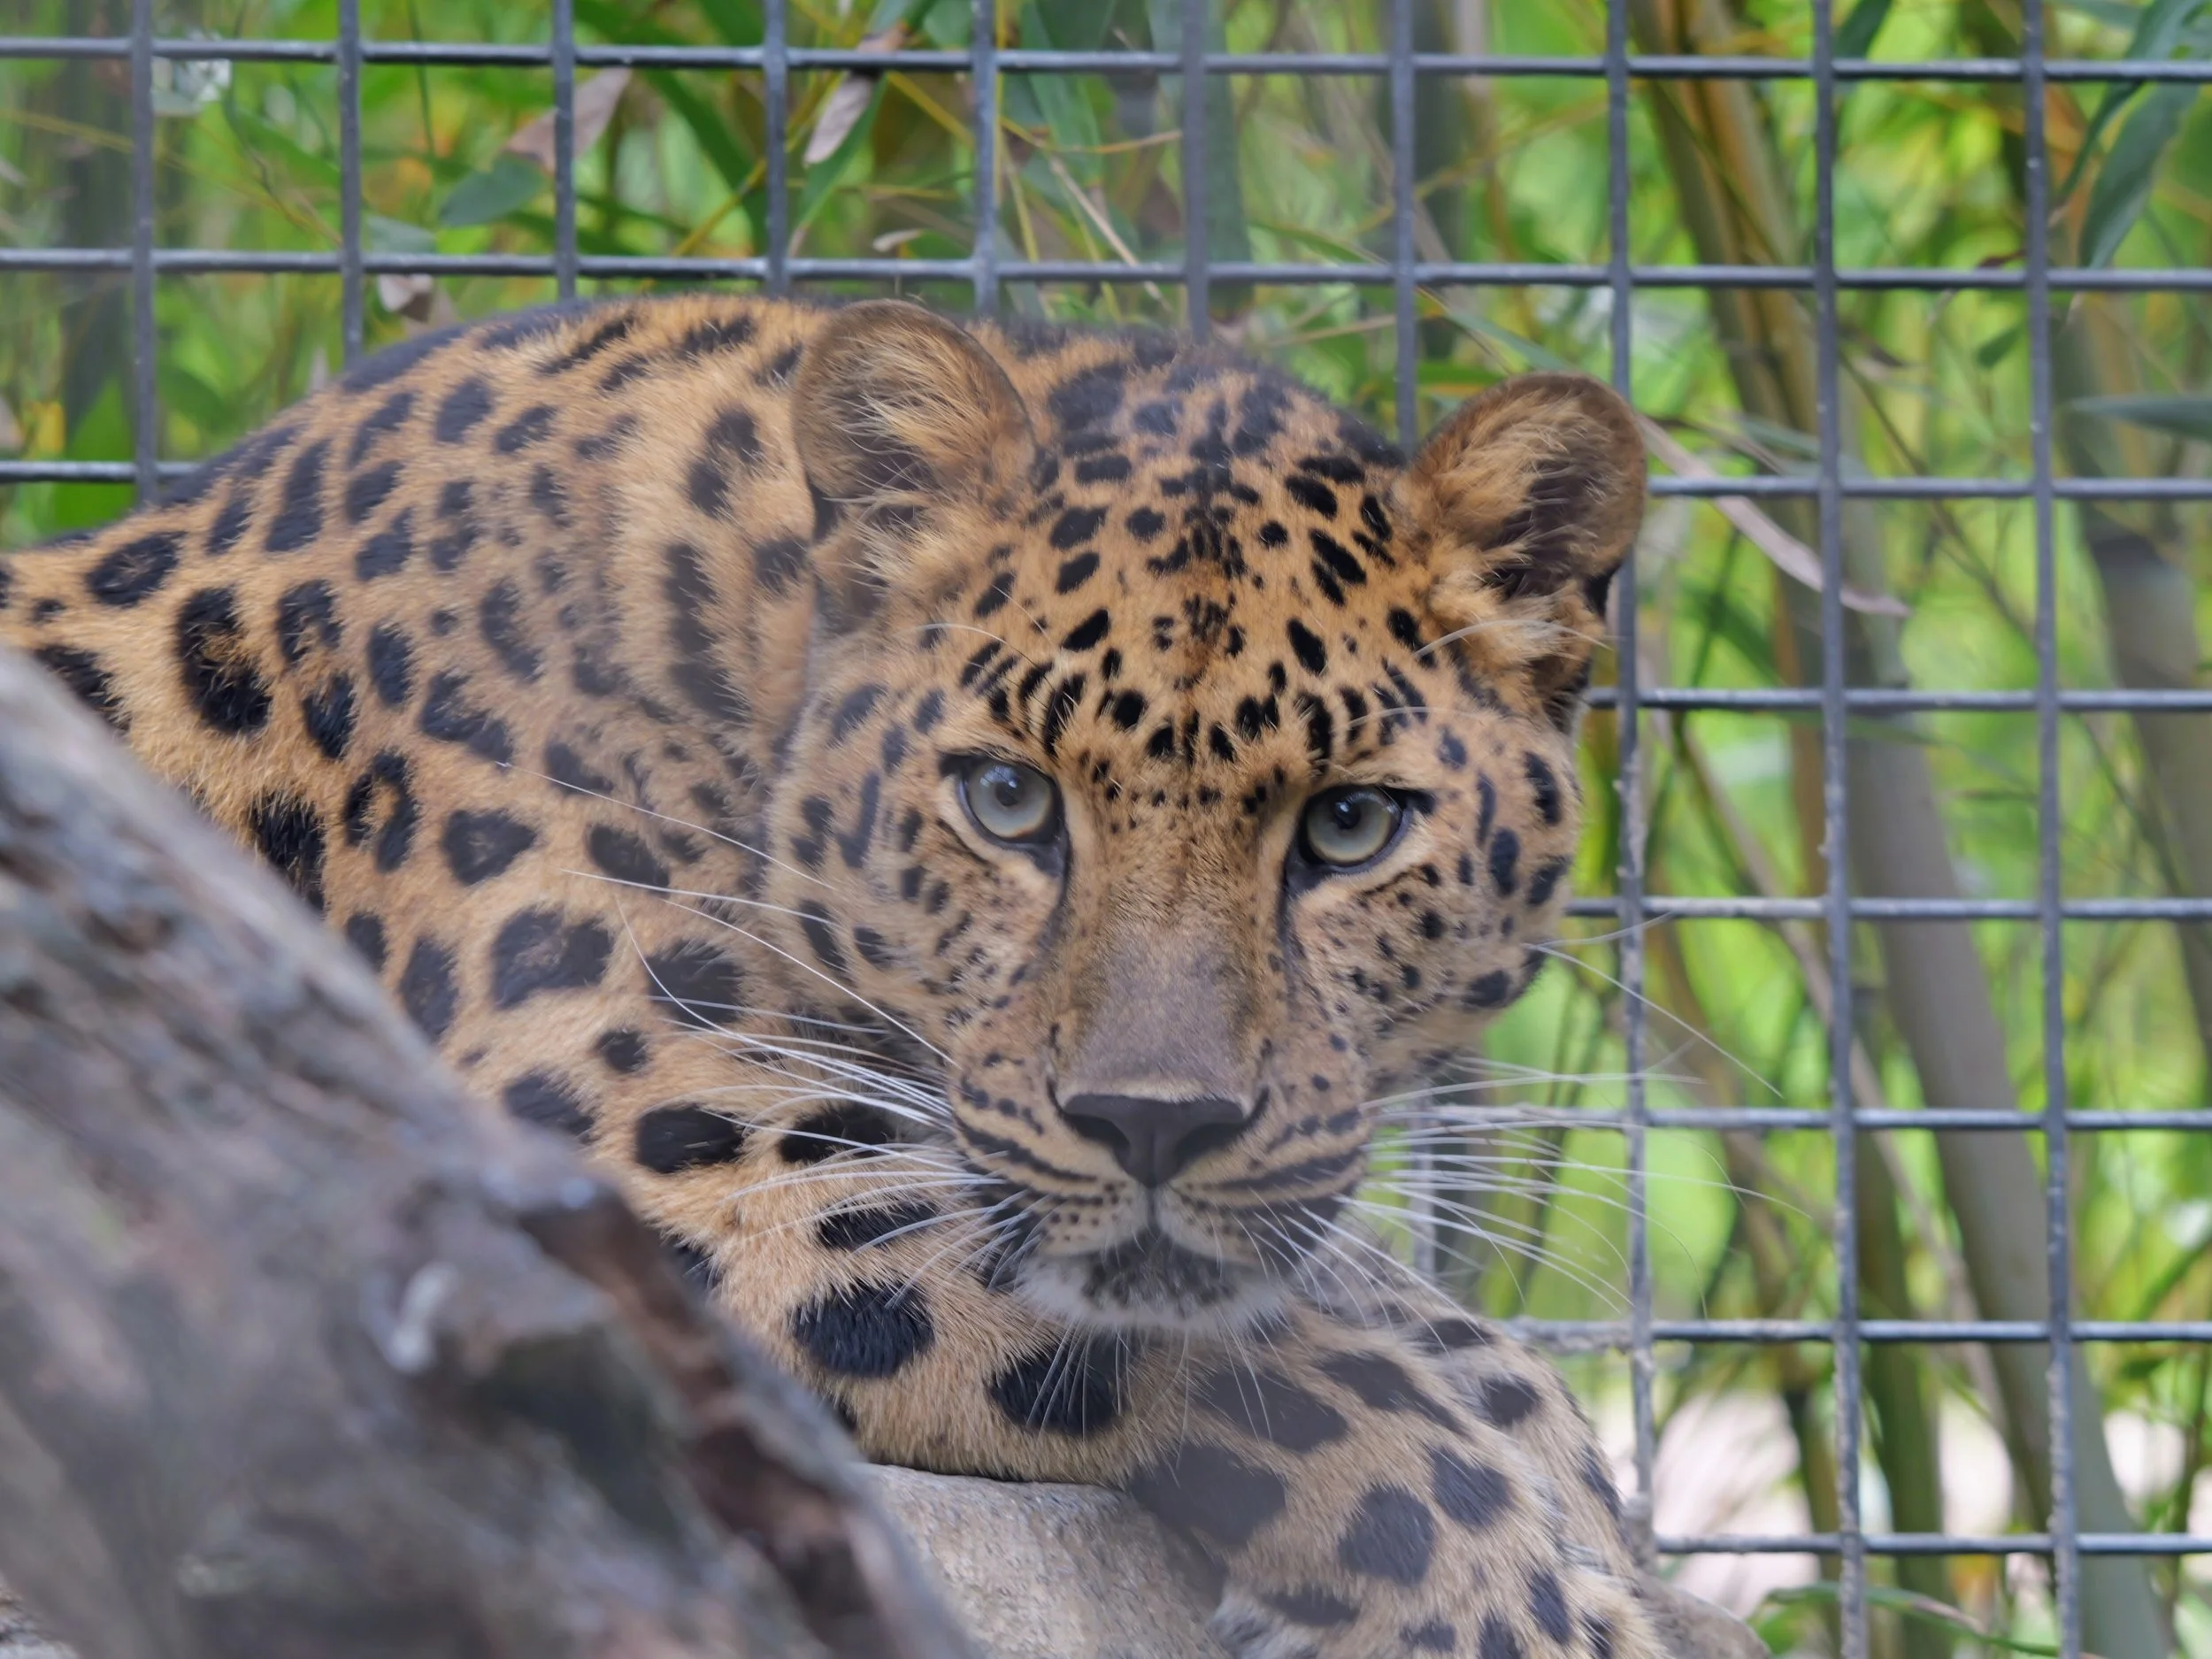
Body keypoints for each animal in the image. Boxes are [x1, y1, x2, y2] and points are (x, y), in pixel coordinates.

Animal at [0, 292, 1692, 1659]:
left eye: (1350, 825)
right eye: (1008, 799)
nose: (1154, 1125)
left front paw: (1565, 1475)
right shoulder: (636, 1150)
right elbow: (1285, 1362)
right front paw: (1507, 1596)